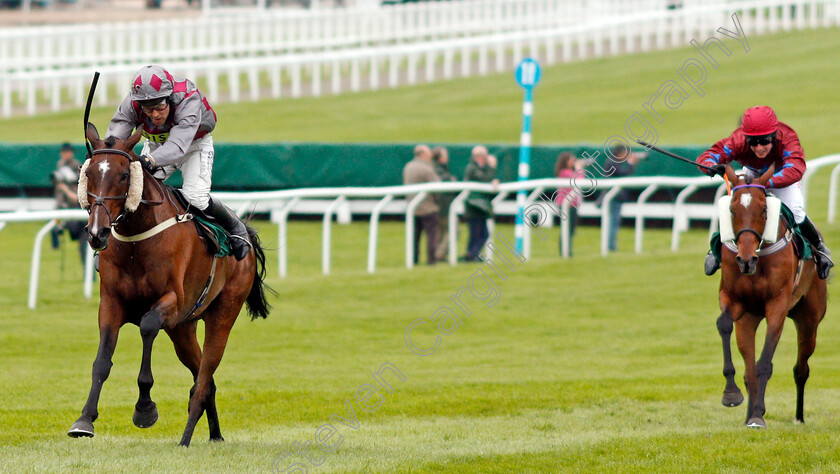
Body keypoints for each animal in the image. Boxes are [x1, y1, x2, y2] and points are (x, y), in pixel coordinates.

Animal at [69, 121, 272, 444]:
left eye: (124, 175)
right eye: (88, 173)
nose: (96, 232)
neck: (137, 242)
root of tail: (247, 240)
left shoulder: (171, 302)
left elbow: (148, 326)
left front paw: (144, 408)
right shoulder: (111, 303)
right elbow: (102, 361)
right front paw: (84, 420)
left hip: (222, 314)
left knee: (204, 377)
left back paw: (185, 439)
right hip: (183, 330)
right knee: (204, 377)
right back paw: (215, 435)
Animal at [716, 164, 828, 430]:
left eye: (764, 210)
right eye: (732, 209)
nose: (746, 261)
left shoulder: (777, 305)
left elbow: (765, 364)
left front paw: (758, 416)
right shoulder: (733, 299)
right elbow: (723, 324)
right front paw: (731, 395)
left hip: (809, 320)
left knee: (801, 369)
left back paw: (798, 416)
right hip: (749, 320)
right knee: (749, 370)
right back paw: (748, 412)